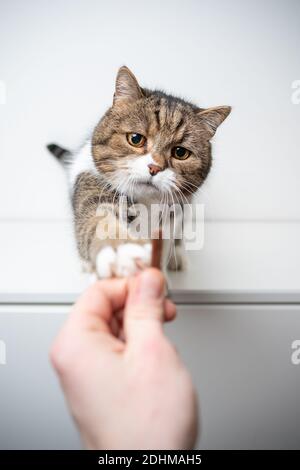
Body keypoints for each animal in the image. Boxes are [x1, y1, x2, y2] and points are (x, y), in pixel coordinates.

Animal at [47, 66, 231, 280]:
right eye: (135, 139)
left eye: (180, 152)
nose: (154, 168)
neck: (147, 204)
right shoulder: (94, 189)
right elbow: (100, 223)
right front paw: (122, 251)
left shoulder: (172, 218)